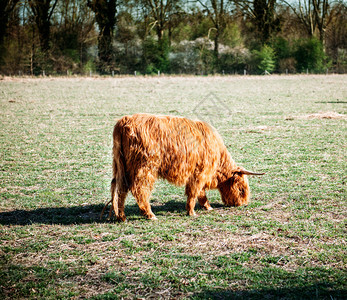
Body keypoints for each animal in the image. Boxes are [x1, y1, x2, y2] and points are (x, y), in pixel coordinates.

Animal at [102, 112, 266, 220]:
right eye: (241, 189)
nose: (243, 204)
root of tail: (124, 121)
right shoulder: (200, 172)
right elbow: (194, 191)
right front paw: (192, 212)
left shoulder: (196, 173)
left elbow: (200, 192)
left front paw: (207, 206)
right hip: (144, 168)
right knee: (139, 189)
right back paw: (150, 214)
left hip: (121, 166)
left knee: (121, 189)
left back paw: (122, 217)